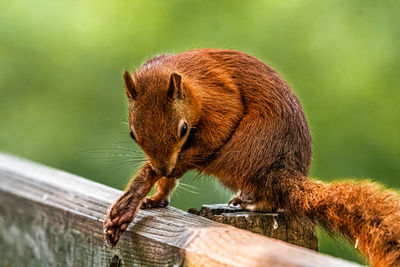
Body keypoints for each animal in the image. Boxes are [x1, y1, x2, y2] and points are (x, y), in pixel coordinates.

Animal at [104, 48, 400, 267]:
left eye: (183, 129)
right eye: (132, 134)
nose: (163, 167)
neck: (187, 79)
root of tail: (284, 172)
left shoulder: (219, 95)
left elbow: (219, 128)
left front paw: (138, 190)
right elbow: (168, 176)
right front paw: (153, 197)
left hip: (239, 154)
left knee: (269, 198)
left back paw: (252, 203)